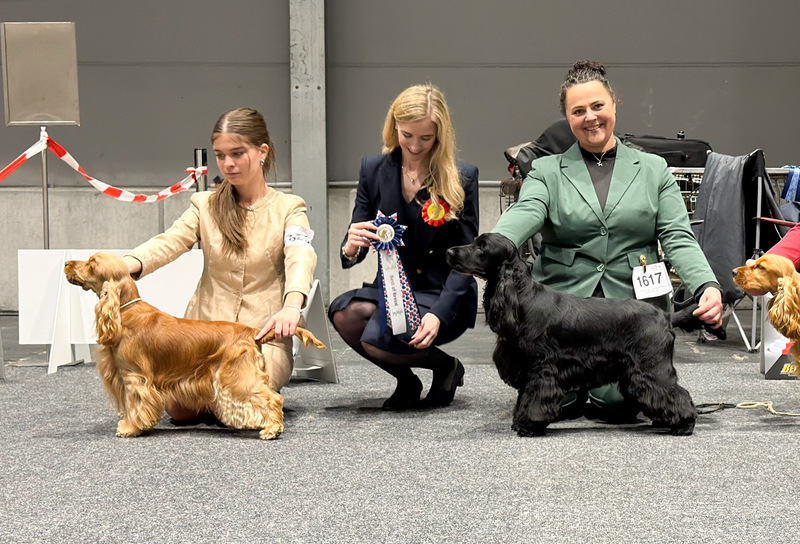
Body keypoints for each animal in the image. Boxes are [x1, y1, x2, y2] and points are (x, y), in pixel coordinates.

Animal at [64, 252, 325, 440]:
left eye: (91, 263)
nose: (66, 262)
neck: (126, 311)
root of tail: (251, 332)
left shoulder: (133, 377)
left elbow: (134, 404)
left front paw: (129, 428)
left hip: (235, 376)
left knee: (273, 398)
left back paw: (272, 429)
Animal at [446, 232, 716, 437]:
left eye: (481, 246)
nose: (449, 252)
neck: (521, 298)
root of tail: (665, 316)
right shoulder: (526, 367)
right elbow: (524, 397)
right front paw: (519, 422)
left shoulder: (542, 367)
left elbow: (535, 398)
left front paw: (529, 426)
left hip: (651, 367)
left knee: (676, 393)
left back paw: (683, 425)